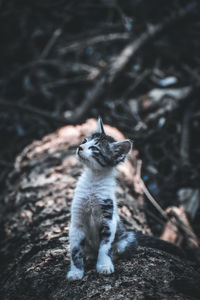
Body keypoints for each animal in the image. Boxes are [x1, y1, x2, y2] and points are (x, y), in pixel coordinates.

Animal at [66, 118, 184, 282]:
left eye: (95, 149)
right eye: (84, 141)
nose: (79, 147)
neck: (93, 182)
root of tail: (130, 233)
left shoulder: (108, 218)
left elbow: (105, 246)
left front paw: (104, 265)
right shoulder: (77, 222)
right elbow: (75, 250)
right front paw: (76, 272)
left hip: (126, 239)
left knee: (121, 249)